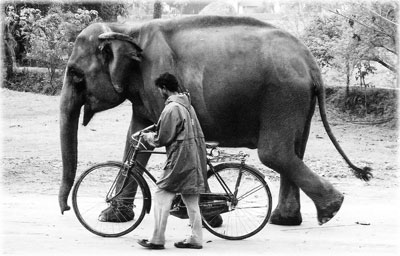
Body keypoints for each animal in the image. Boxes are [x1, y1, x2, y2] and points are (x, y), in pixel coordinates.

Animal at [59, 15, 372, 225]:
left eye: (75, 74)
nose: (64, 210)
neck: (126, 29)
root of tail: (311, 63)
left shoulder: (158, 76)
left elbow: (169, 139)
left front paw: (202, 214)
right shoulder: (144, 91)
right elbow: (136, 139)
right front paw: (110, 216)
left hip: (283, 95)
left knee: (275, 153)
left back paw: (330, 210)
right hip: (298, 102)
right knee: (295, 150)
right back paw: (287, 219)